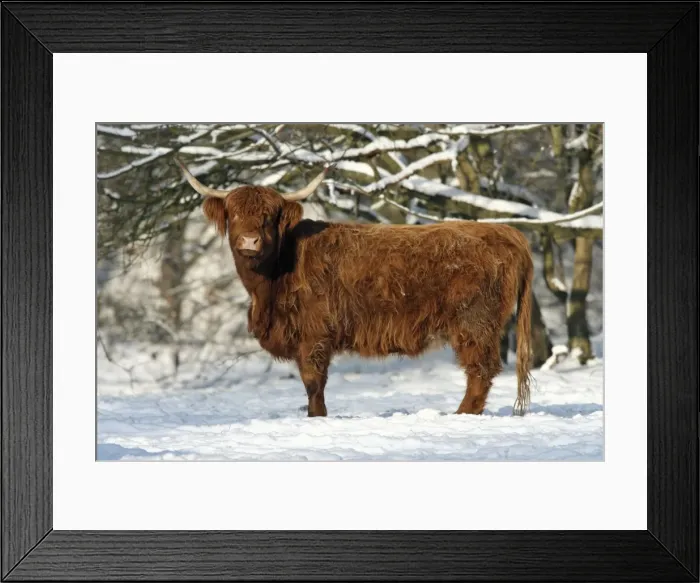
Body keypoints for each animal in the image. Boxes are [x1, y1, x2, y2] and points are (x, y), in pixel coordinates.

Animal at [176, 157, 534, 418]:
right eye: (234, 214)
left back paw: (461, 414)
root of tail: (503, 231)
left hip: (474, 322)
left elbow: (313, 381)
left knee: (481, 370)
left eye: (268, 216)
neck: (268, 286)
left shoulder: (314, 333)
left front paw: (317, 418)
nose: (250, 241)